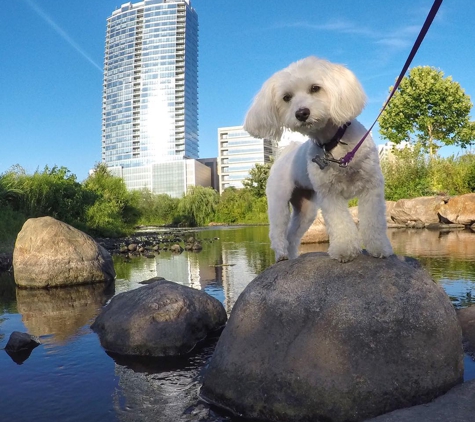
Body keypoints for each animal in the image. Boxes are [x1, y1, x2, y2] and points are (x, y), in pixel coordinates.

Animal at [244, 56, 392, 260]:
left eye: (315, 88)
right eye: (286, 97)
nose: (301, 113)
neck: (334, 144)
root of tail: (284, 154)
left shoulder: (372, 187)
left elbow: (374, 221)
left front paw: (379, 248)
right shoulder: (329, 194)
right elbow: (340, 222)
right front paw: (344, 250)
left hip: (306, 209)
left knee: (292, 236)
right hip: (278, 201)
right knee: (278, 232)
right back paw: (281, 255)